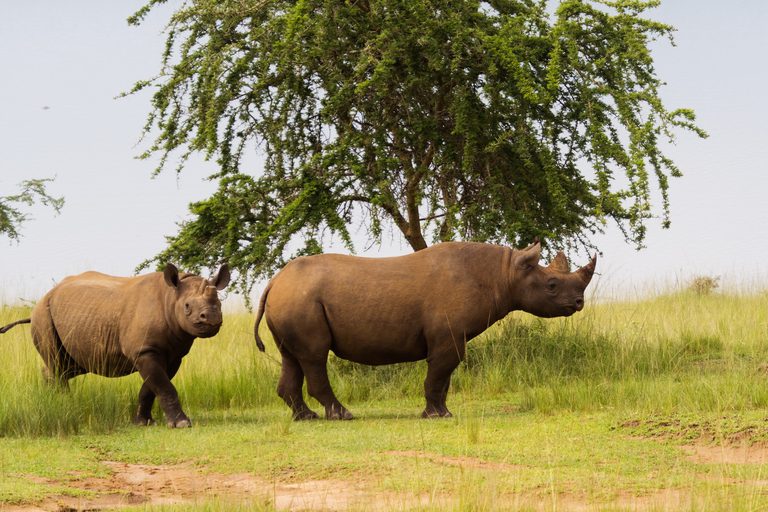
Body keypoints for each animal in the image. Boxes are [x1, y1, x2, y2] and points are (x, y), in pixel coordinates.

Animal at [0, 264, 230, 427]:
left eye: (219, 304)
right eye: (187, 306)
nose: (211, 318)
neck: (171, 297)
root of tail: (45, 296)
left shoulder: (172, 355)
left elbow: (152, 387)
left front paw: (143, 422)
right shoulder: (144, 350)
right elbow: (163, 385)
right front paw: (182, 423)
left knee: (65, 366)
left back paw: (54, 400)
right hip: (42, 314)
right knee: (58, 364)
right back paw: (65, 406)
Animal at [254, 241, 596, 420]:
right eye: (552, 285)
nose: (579, 302)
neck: (504, 273)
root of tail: (275, 281)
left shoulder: (451, 337)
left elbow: (444, 379)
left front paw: (442, 411)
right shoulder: (448, 336)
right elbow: (438, 376)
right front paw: (437, 415)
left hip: (294, 299)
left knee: (293, 357)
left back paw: (306, 417)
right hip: (301, 300)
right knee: (314, 356)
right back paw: (343, 416)